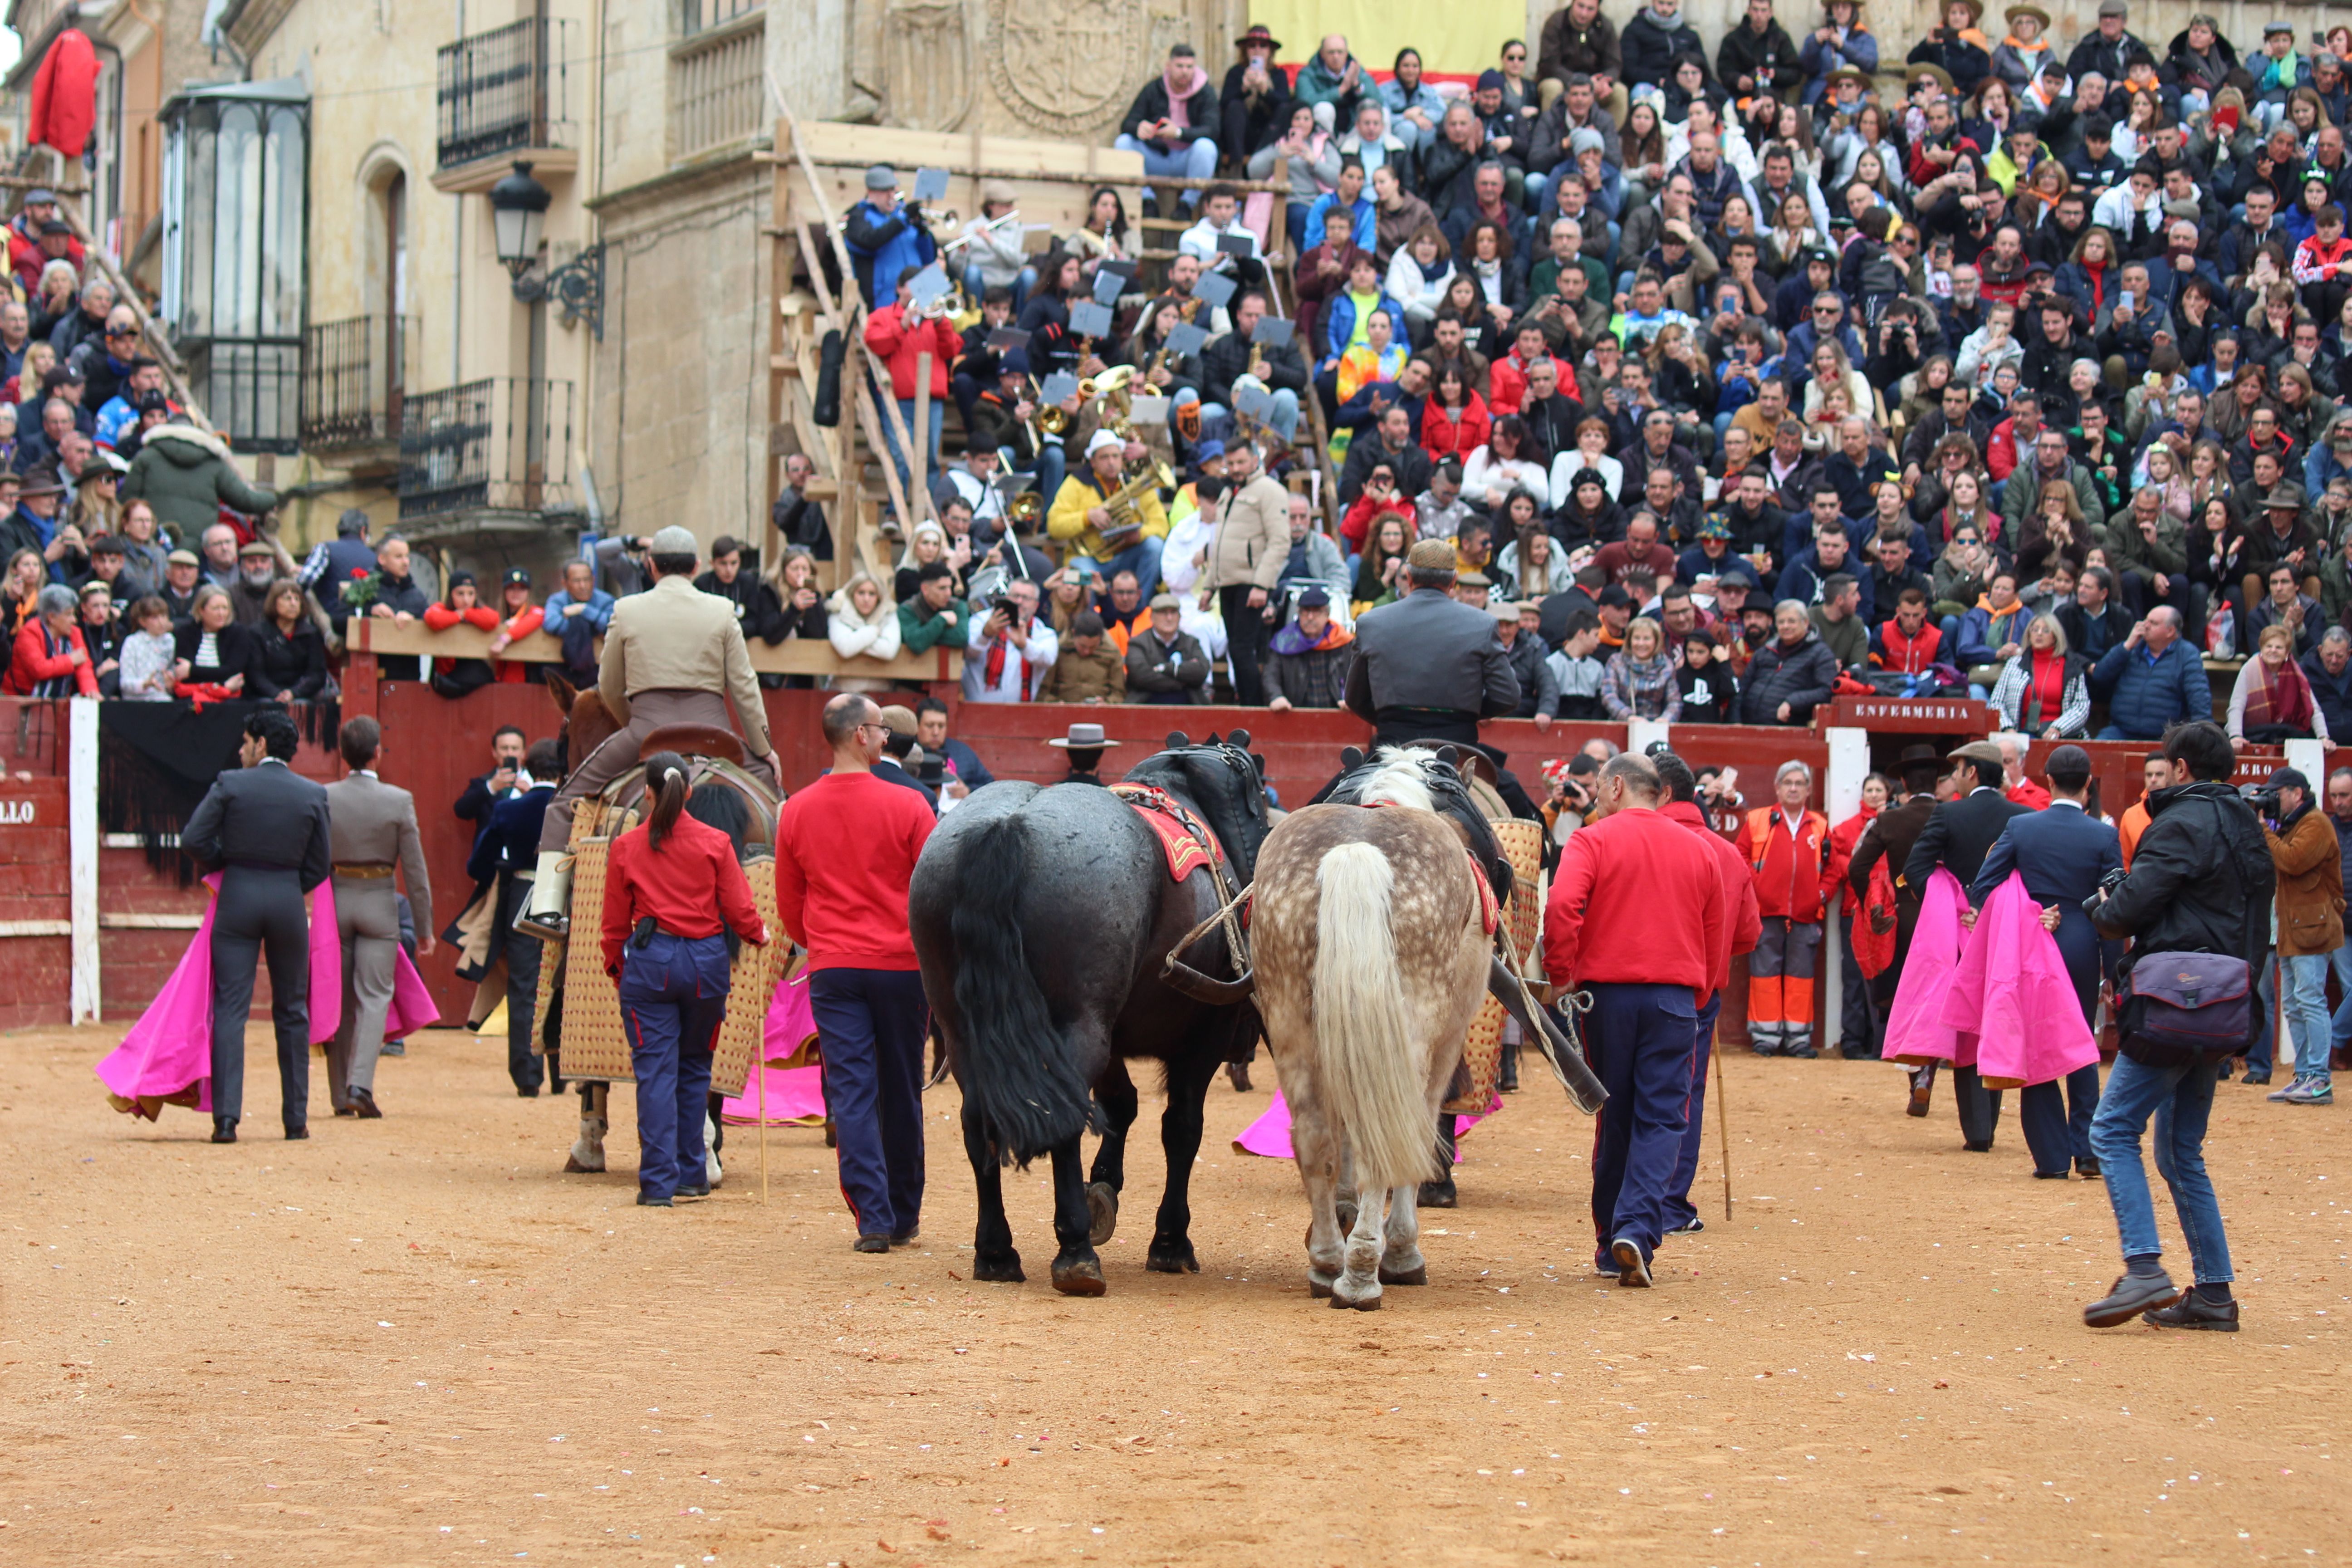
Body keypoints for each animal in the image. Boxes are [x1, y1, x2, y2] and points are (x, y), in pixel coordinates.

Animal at [903, 729, 1270, 1298]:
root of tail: (1008, 826)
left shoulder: (1113, 1036)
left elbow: (1120, 1106)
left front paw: (1104, 1188)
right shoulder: (1200, 1042)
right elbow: (1181, 1128)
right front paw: (1169, 1241)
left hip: (966, 1032)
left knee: (978, 1123)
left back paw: (997, 1251)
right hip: (1078, 1028)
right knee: (1065, 1122)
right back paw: (1075, 1251)